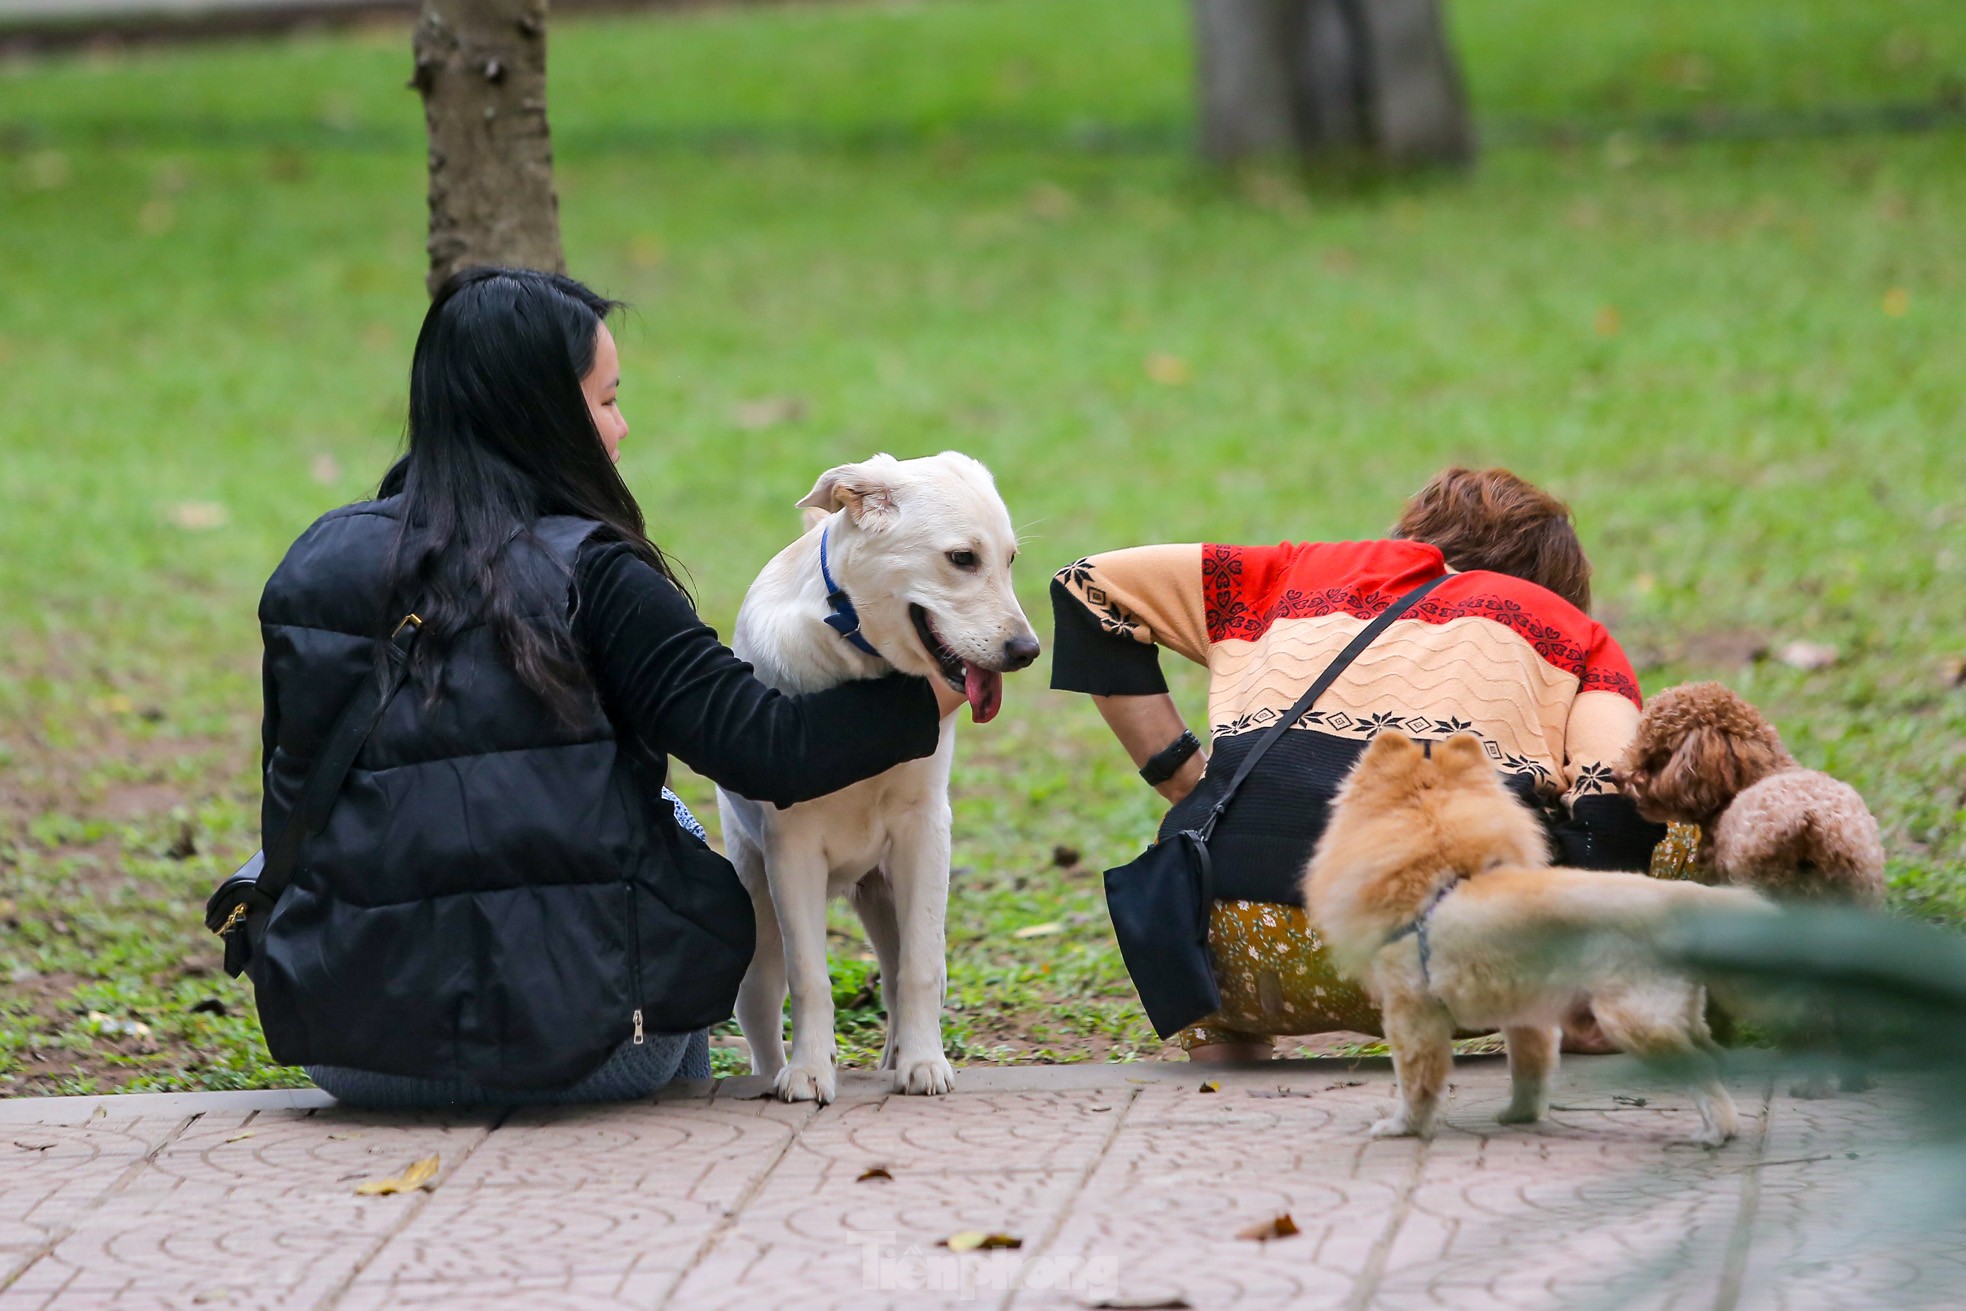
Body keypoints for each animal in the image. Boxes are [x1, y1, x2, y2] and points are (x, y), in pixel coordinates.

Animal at [715, 456, 1038, 1100]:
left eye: (1010, 559)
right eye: (962, 558)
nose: (1028, 650)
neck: (864, 667)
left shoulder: (925, 832)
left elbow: (920, 970)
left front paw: (924, 1063)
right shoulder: (792, 849)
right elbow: (810, 977)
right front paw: (809, 1071)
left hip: (887, 892)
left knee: (897, 975)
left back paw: (897, 1057)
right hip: (758, 932)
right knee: (762, 1013)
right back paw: (778, 1071)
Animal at [1297, 739, 1777, 1147]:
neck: (1442, 879)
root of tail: (1678, 902)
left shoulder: (1412, 1013)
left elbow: (1417, 1083)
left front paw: (1404, 1127)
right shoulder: (1528, 1016)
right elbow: (1530, 1071)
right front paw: (1520, 1116)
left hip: (1632, 1017)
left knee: (1701, 1073)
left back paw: (1715, 1133)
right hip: (1678, 1012)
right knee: (1713, 1057)